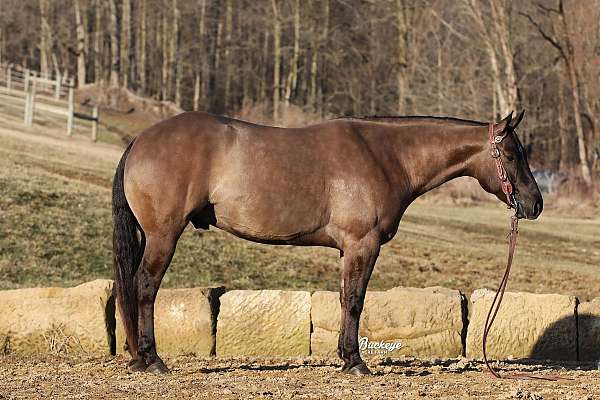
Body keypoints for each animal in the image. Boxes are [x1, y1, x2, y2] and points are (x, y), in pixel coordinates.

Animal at [110, 109, 540, 376]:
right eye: (512, 154)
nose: (534, 204)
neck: (386, 156)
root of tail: (140, 141)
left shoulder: (347, 250)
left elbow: (345, 299)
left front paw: (345, 358)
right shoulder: (363, 245)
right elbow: (355, 302)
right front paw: (356, 363)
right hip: (163, 236)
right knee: (144, 287)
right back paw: (151, 359)